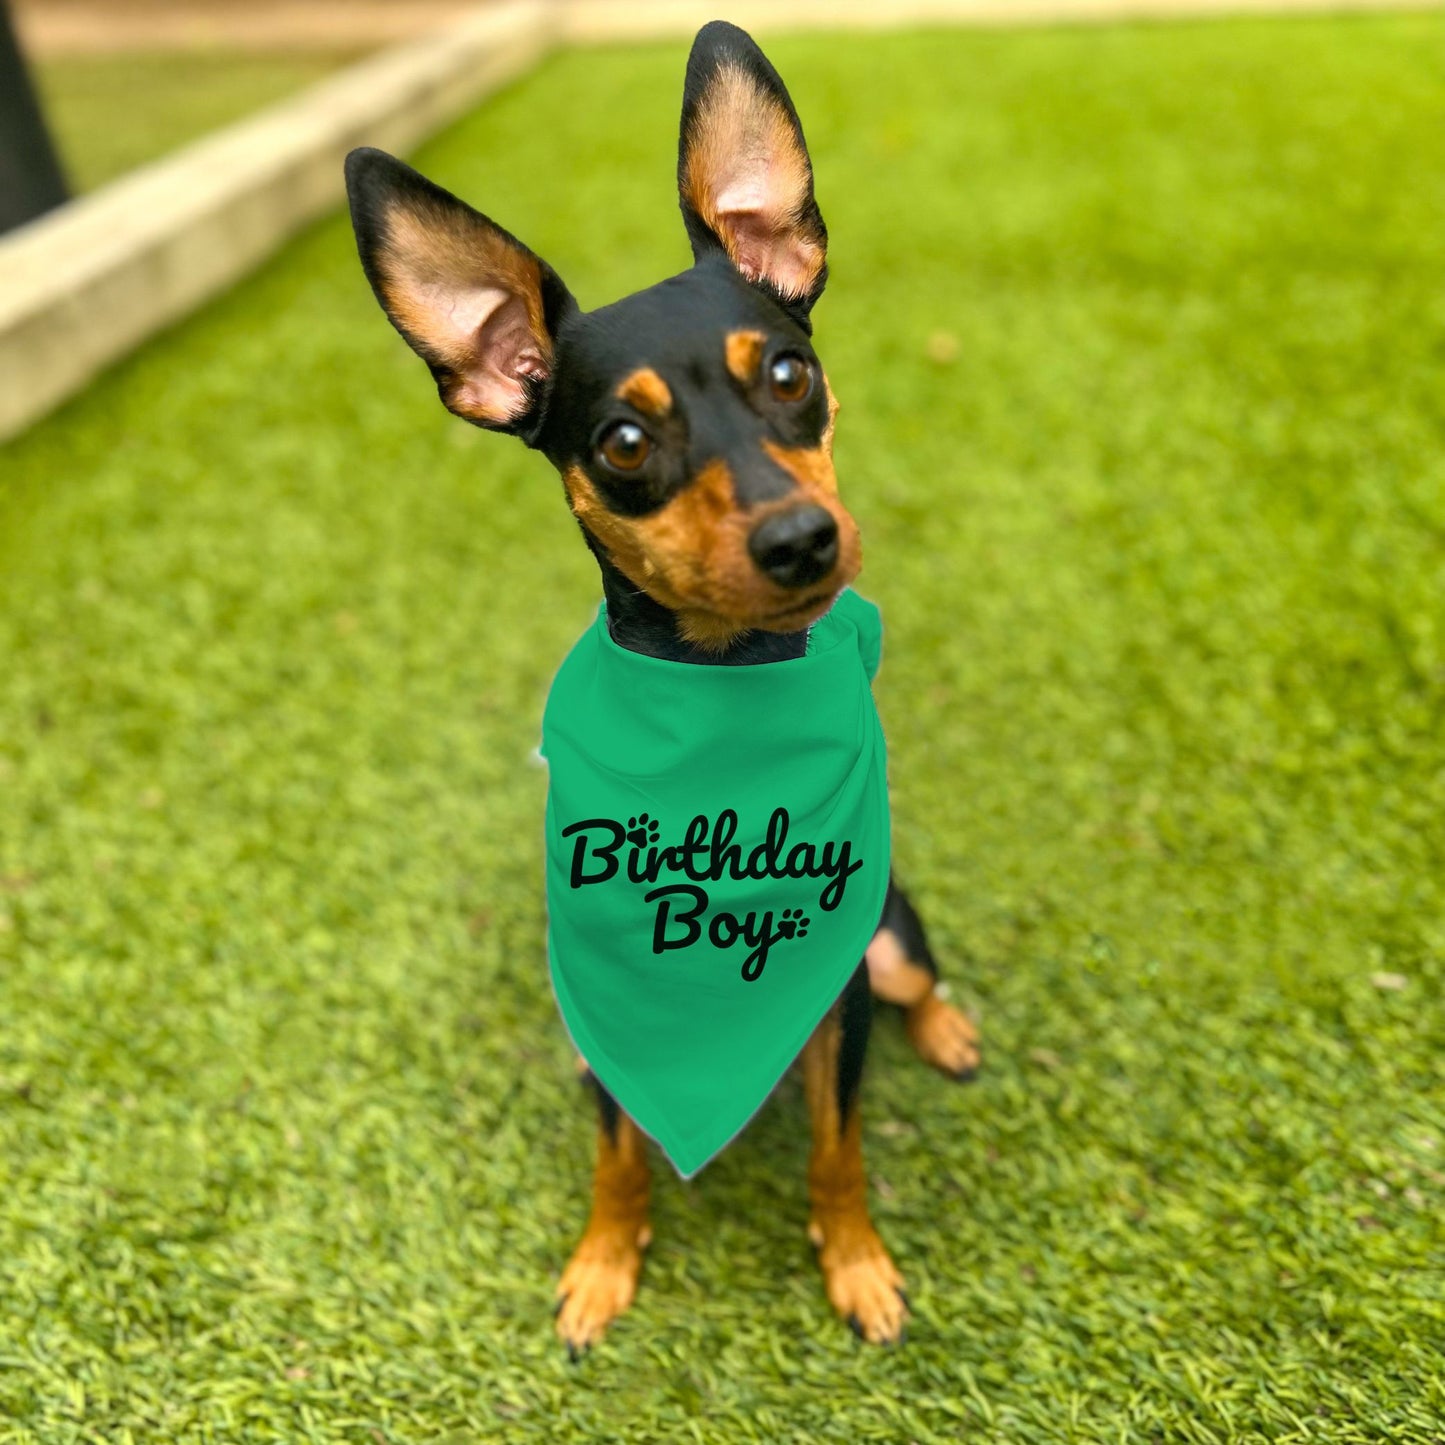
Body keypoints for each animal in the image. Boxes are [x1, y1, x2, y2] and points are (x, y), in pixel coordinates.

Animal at [343, 19, 982, 1352]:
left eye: (789, 374)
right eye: (622, 444)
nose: (800, 539)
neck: (721, 694)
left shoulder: (836, 998)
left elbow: (837, 1148)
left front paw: (854, 1260)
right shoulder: (599, 1003)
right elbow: (617, 1154)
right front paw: (601, 1261)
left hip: (885, 933)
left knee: (917, 972)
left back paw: (948, 1028)